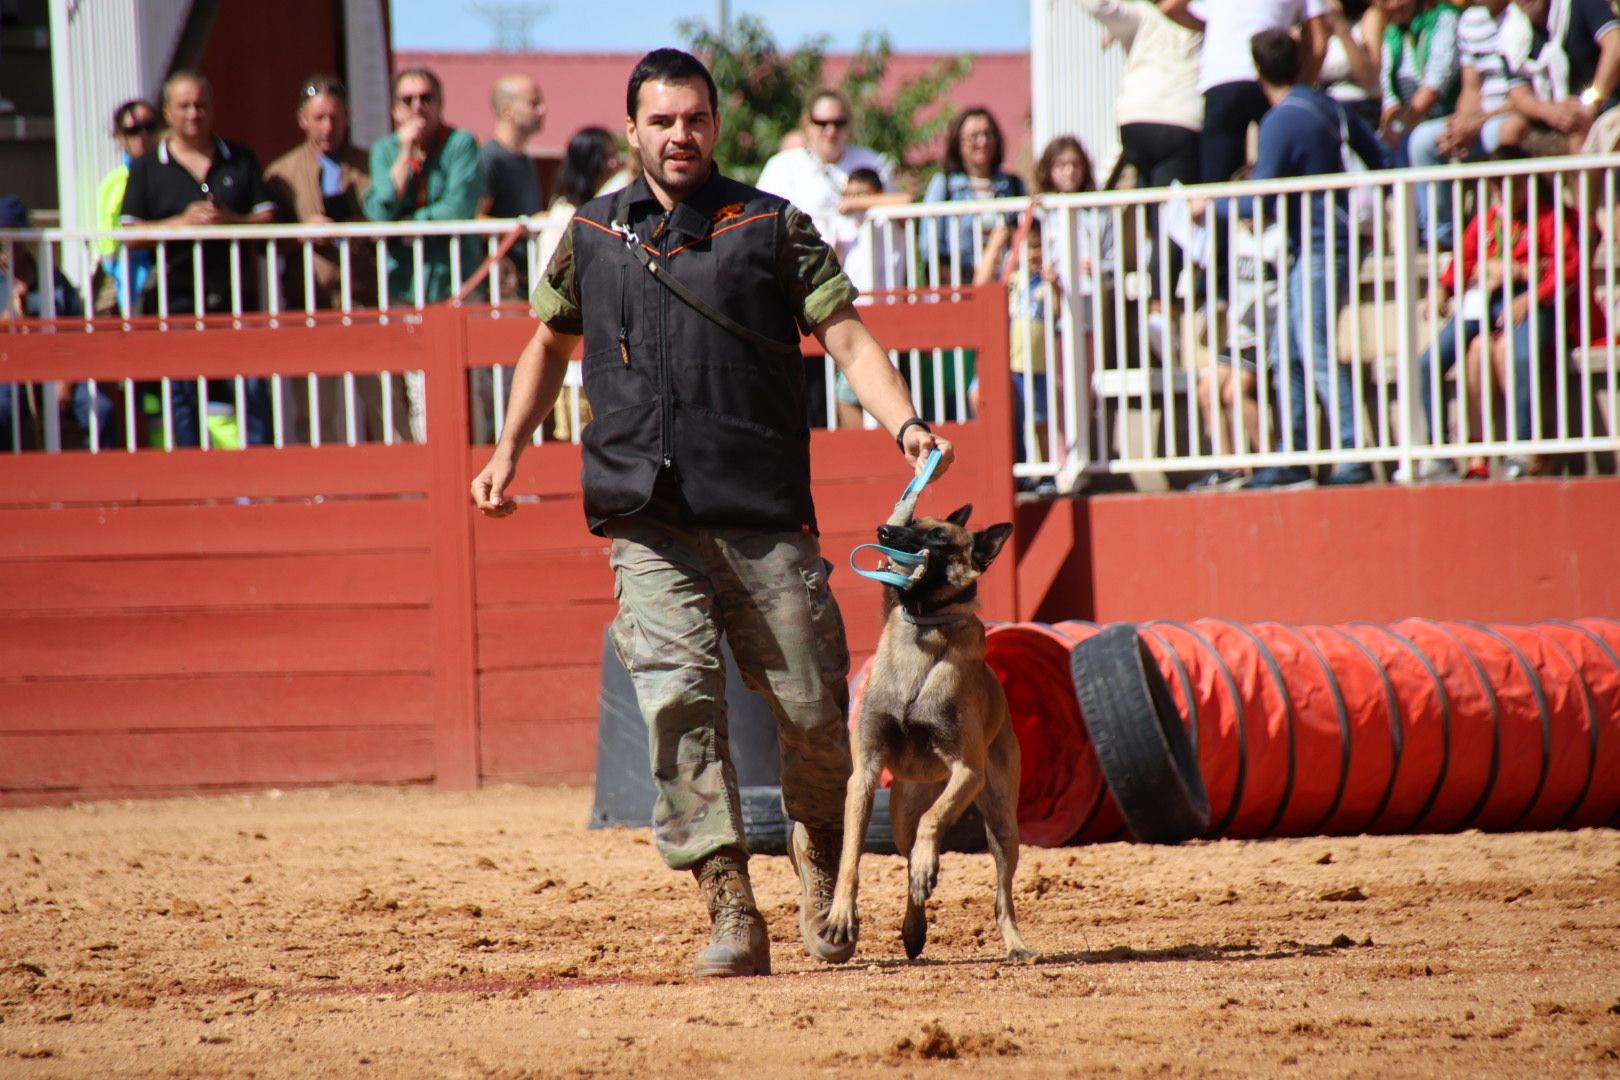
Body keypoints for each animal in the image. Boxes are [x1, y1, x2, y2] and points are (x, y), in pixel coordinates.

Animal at [822, 508, 1036, 965]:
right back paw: (913, 928)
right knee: (908, 853)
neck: (923, 631)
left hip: (1002, 824)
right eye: (913, 520)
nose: (884, 530)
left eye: (938, 536)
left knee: (1002, 895)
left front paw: (927, 866)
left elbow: (933, 822)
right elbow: (850, 855)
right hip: (901, 815)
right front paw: (840, 915)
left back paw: (1014, 943)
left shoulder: (968, 771)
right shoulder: (864, 775)